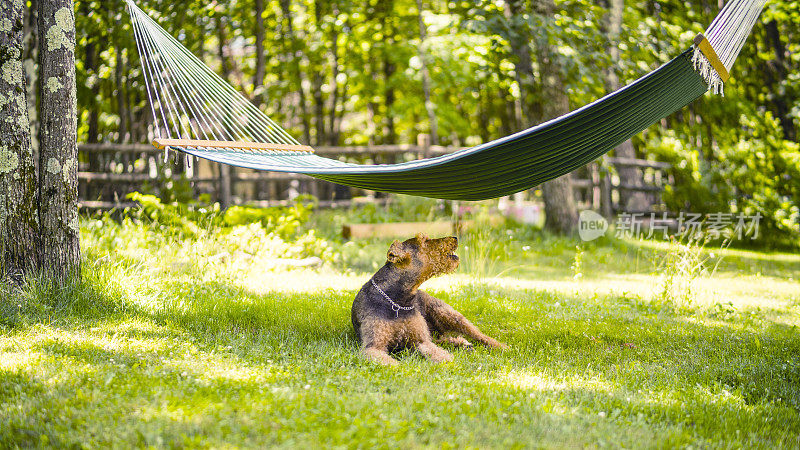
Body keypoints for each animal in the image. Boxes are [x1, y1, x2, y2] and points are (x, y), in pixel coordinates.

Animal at [352, 234, 506, 364]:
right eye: (424, 240)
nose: (455, 238)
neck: (397, 300)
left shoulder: (421, 341)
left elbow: (439, 354)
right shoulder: (373, 346)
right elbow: (392, 362)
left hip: (450, 315)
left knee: (479, 335)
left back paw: (501, 346)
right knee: (444, 339)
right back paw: (461, 344)